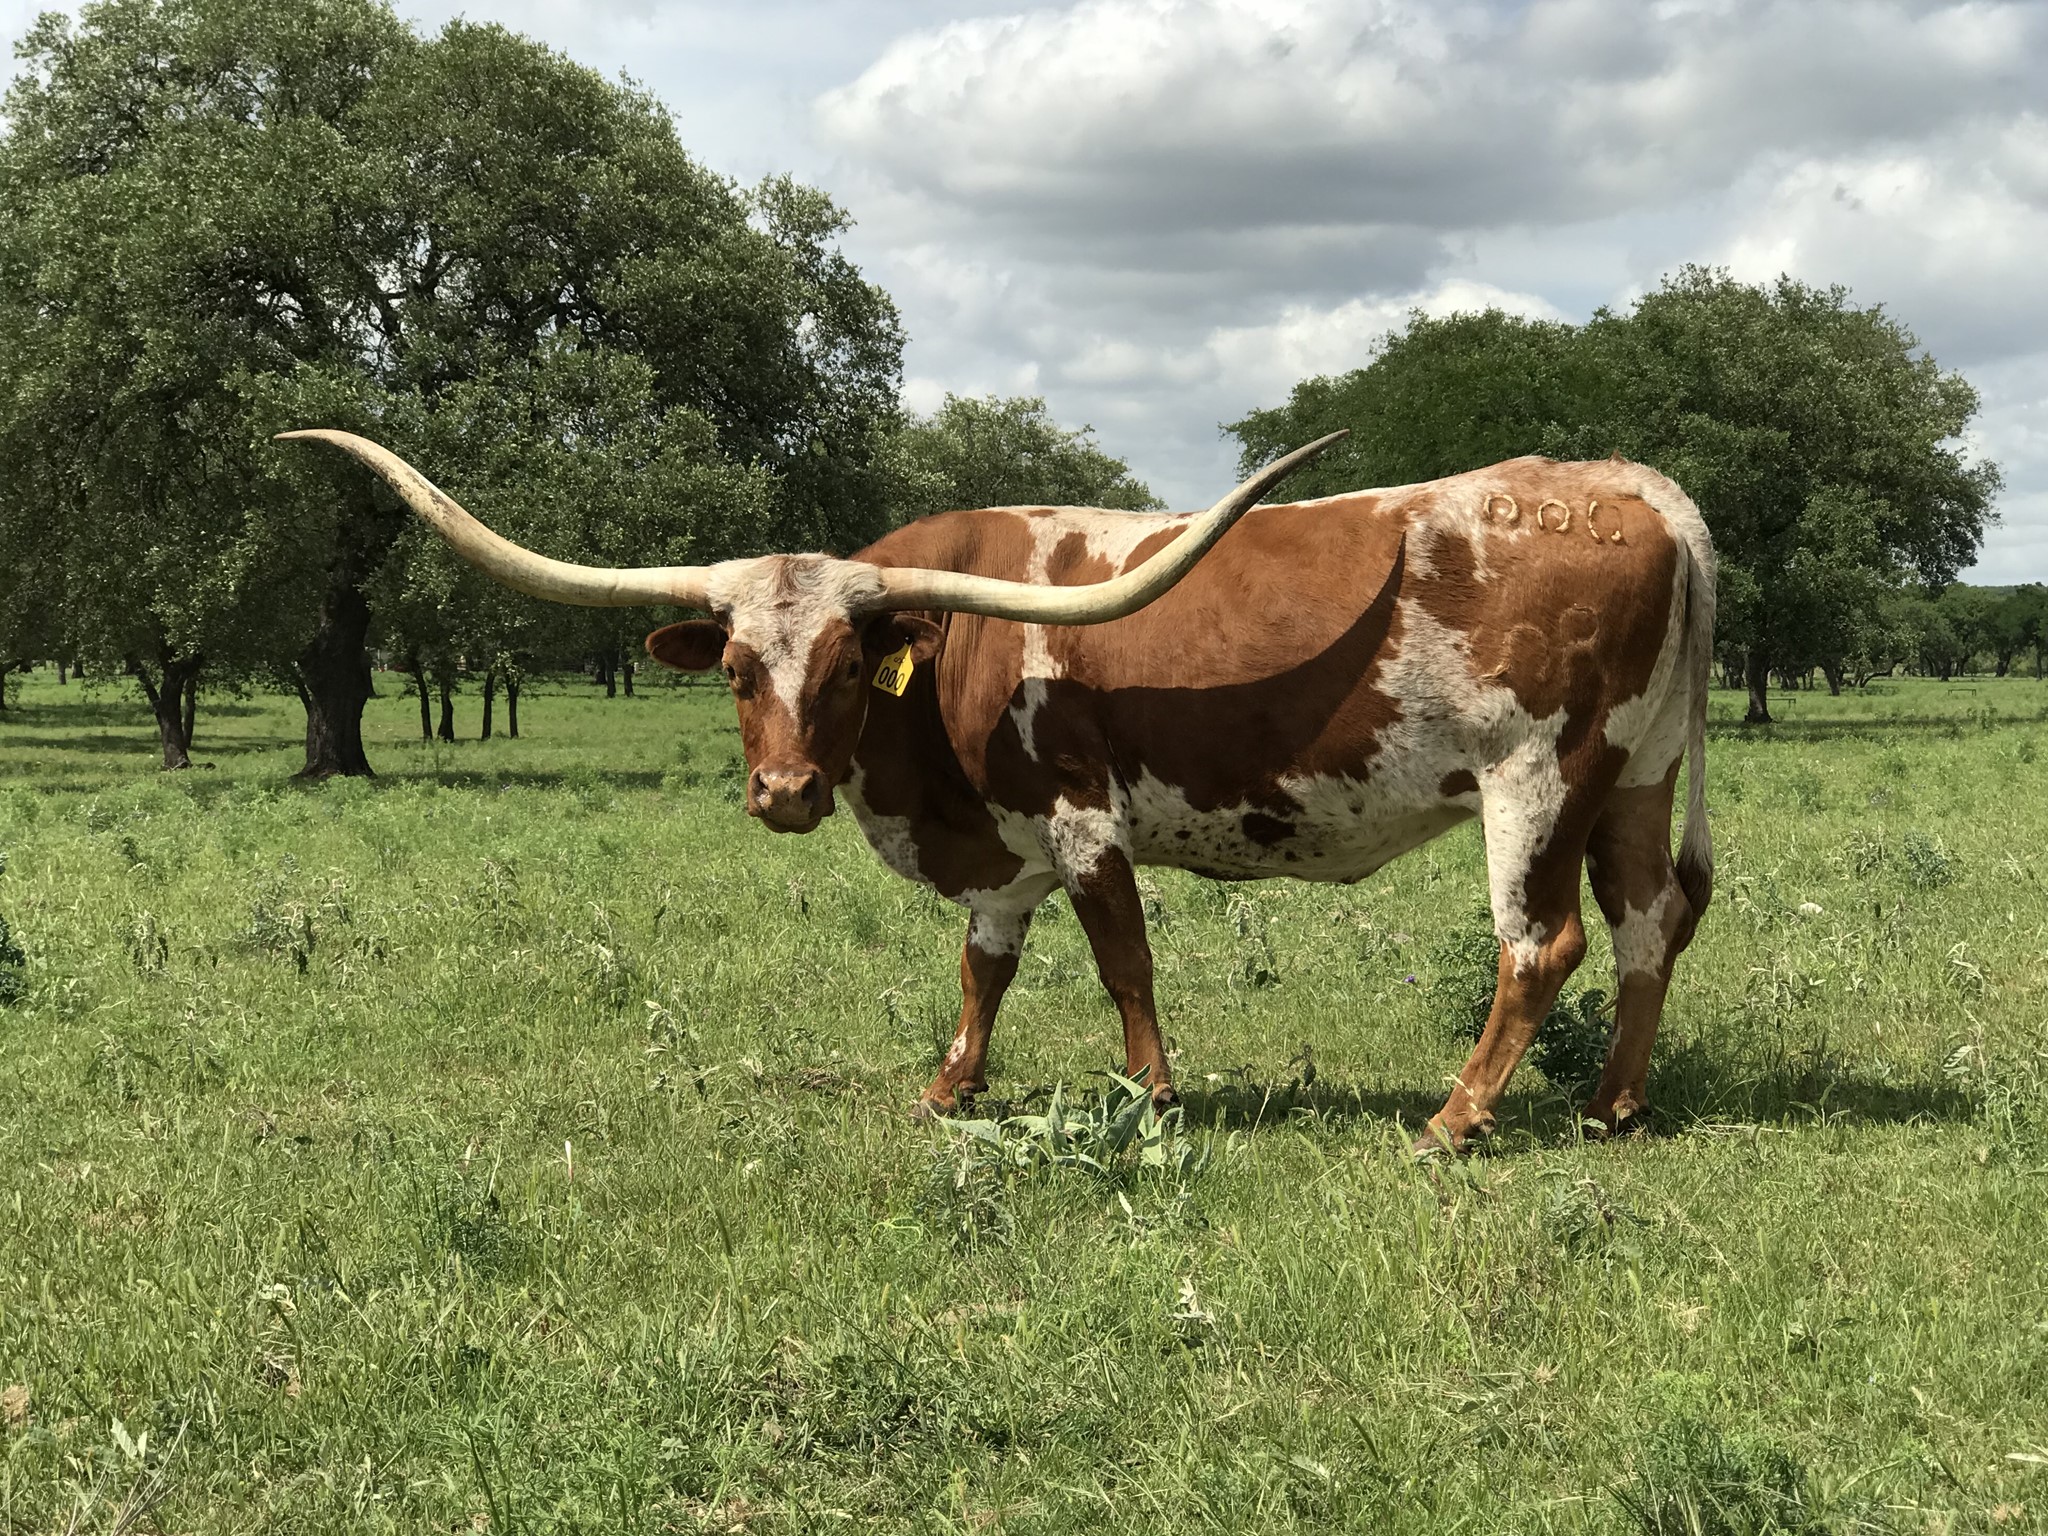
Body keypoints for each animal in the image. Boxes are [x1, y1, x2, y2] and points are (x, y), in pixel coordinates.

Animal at [279, 429, 1713, 1150]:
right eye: (737, 668)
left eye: (848, 664)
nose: (785, 792)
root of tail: (1637, 489)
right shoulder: (1003, 858)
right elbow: (985, 967)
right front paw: (949, 1088)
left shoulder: (1081, 820)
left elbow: (1123, 959)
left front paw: (1151, 1097)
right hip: (1637, 773)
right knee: (1649, 924)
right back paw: (1611, 1106)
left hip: (1538, 779)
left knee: (1541, 945)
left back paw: (1454, 1121)